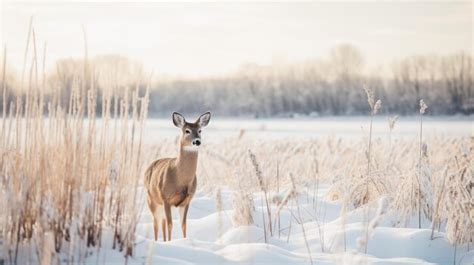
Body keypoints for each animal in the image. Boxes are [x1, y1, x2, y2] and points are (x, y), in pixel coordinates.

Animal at [144, 110, 211, 240]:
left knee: (162, 222)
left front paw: (184, 240)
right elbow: (170, 225)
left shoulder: (186, 201)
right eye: (187, 131)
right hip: (152, 200)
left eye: (200, 130)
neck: (179, 178)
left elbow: (183, 225)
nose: (197, 141)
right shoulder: (166, 198)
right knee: (156, 223)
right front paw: (170, 242)